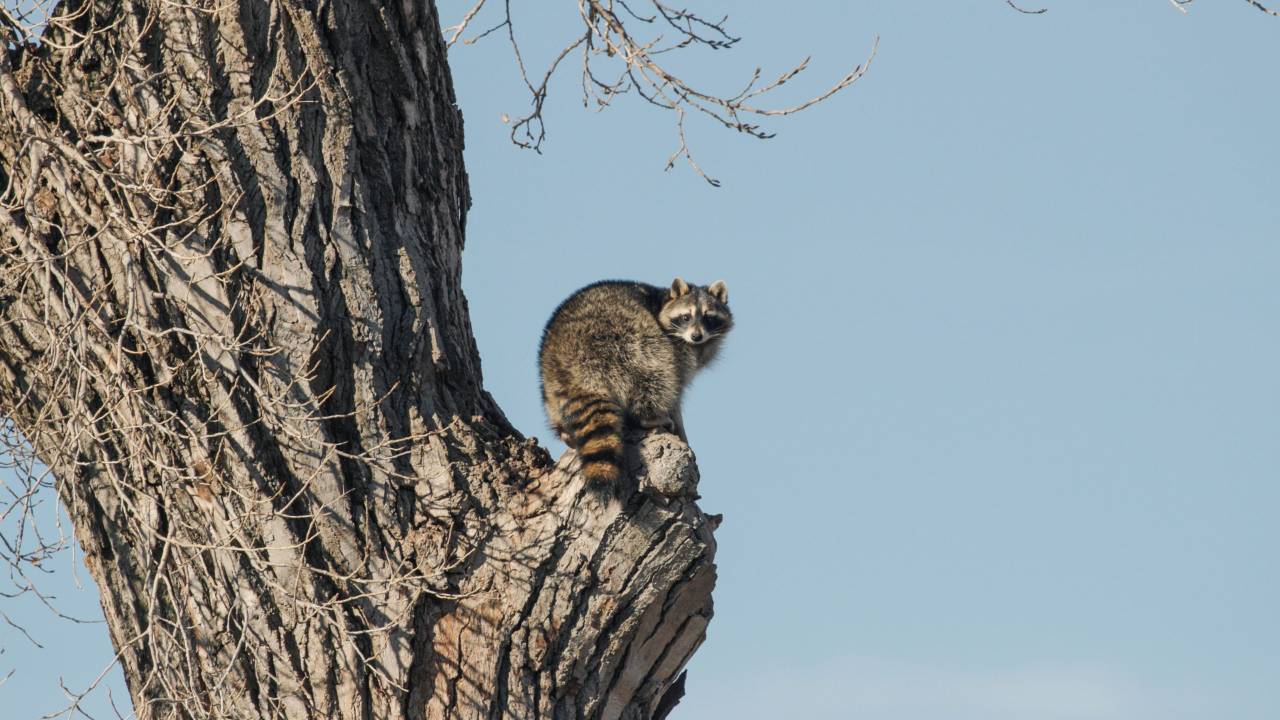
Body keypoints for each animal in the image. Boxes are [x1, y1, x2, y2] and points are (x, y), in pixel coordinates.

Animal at [538, 278, 733, 484]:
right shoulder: (678, 351)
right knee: (656, 369)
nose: (696, 336)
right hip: (622, 339)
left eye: (708, 317)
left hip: (552, 387)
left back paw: (567, 434)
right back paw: (649, 416)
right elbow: (675, 392)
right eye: (686, 317)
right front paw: (681, 430)